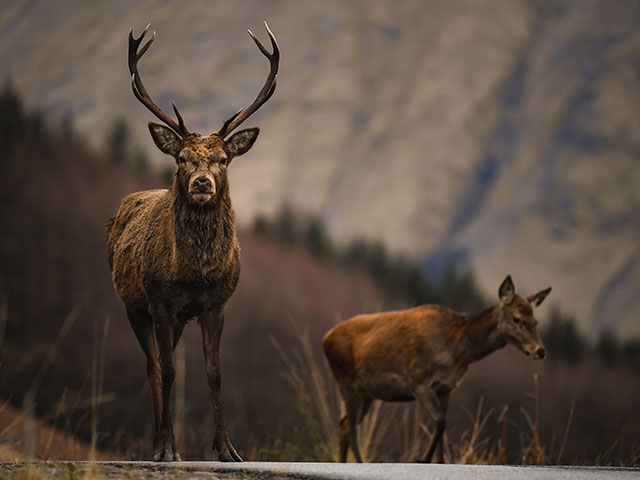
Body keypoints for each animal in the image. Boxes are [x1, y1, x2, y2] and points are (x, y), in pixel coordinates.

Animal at [106, 22, 278, 462]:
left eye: (223, 159)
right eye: (182, 158)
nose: (202, 183)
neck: (195, 273)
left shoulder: (216, 304)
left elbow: (214, 373)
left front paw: (227, 448)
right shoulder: (161, 301)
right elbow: (168, 371)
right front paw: (167, 448)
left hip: (179, 318)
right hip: (134, 304)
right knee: (153, 367)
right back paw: (158, 443)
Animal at [324, 276, 552, 464]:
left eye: (536, 321)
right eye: (516, 318)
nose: (540, 350)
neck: (456, 351)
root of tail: (325, 339)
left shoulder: (447, 387)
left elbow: (443, 423)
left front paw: (440, 461)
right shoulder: (418, 381)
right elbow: (440, 420)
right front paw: (422, 459)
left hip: (368, 393)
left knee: (344, 424)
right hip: (347, 381)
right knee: (350, 427)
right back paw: (360, 462)